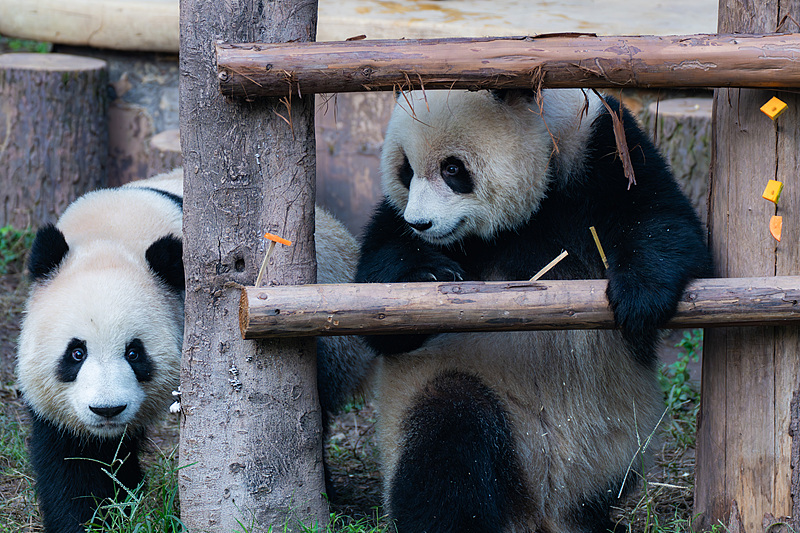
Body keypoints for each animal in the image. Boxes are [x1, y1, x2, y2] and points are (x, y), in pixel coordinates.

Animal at [15, 168, 372, 532]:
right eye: (77, 353)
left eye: (134, 353)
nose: (108, 409)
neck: (112, 232)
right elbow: (76, 457)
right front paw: (98, 514)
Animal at [356, 88, 712, 532]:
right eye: (406, 171)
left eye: (452, 168)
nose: (420, 224)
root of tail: (542, 512)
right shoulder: (397, 220)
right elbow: (380, 306)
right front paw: (427, 275)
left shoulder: (600, 145)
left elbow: (665, 221)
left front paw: (639, 299)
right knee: (446, 436)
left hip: (615, 447)